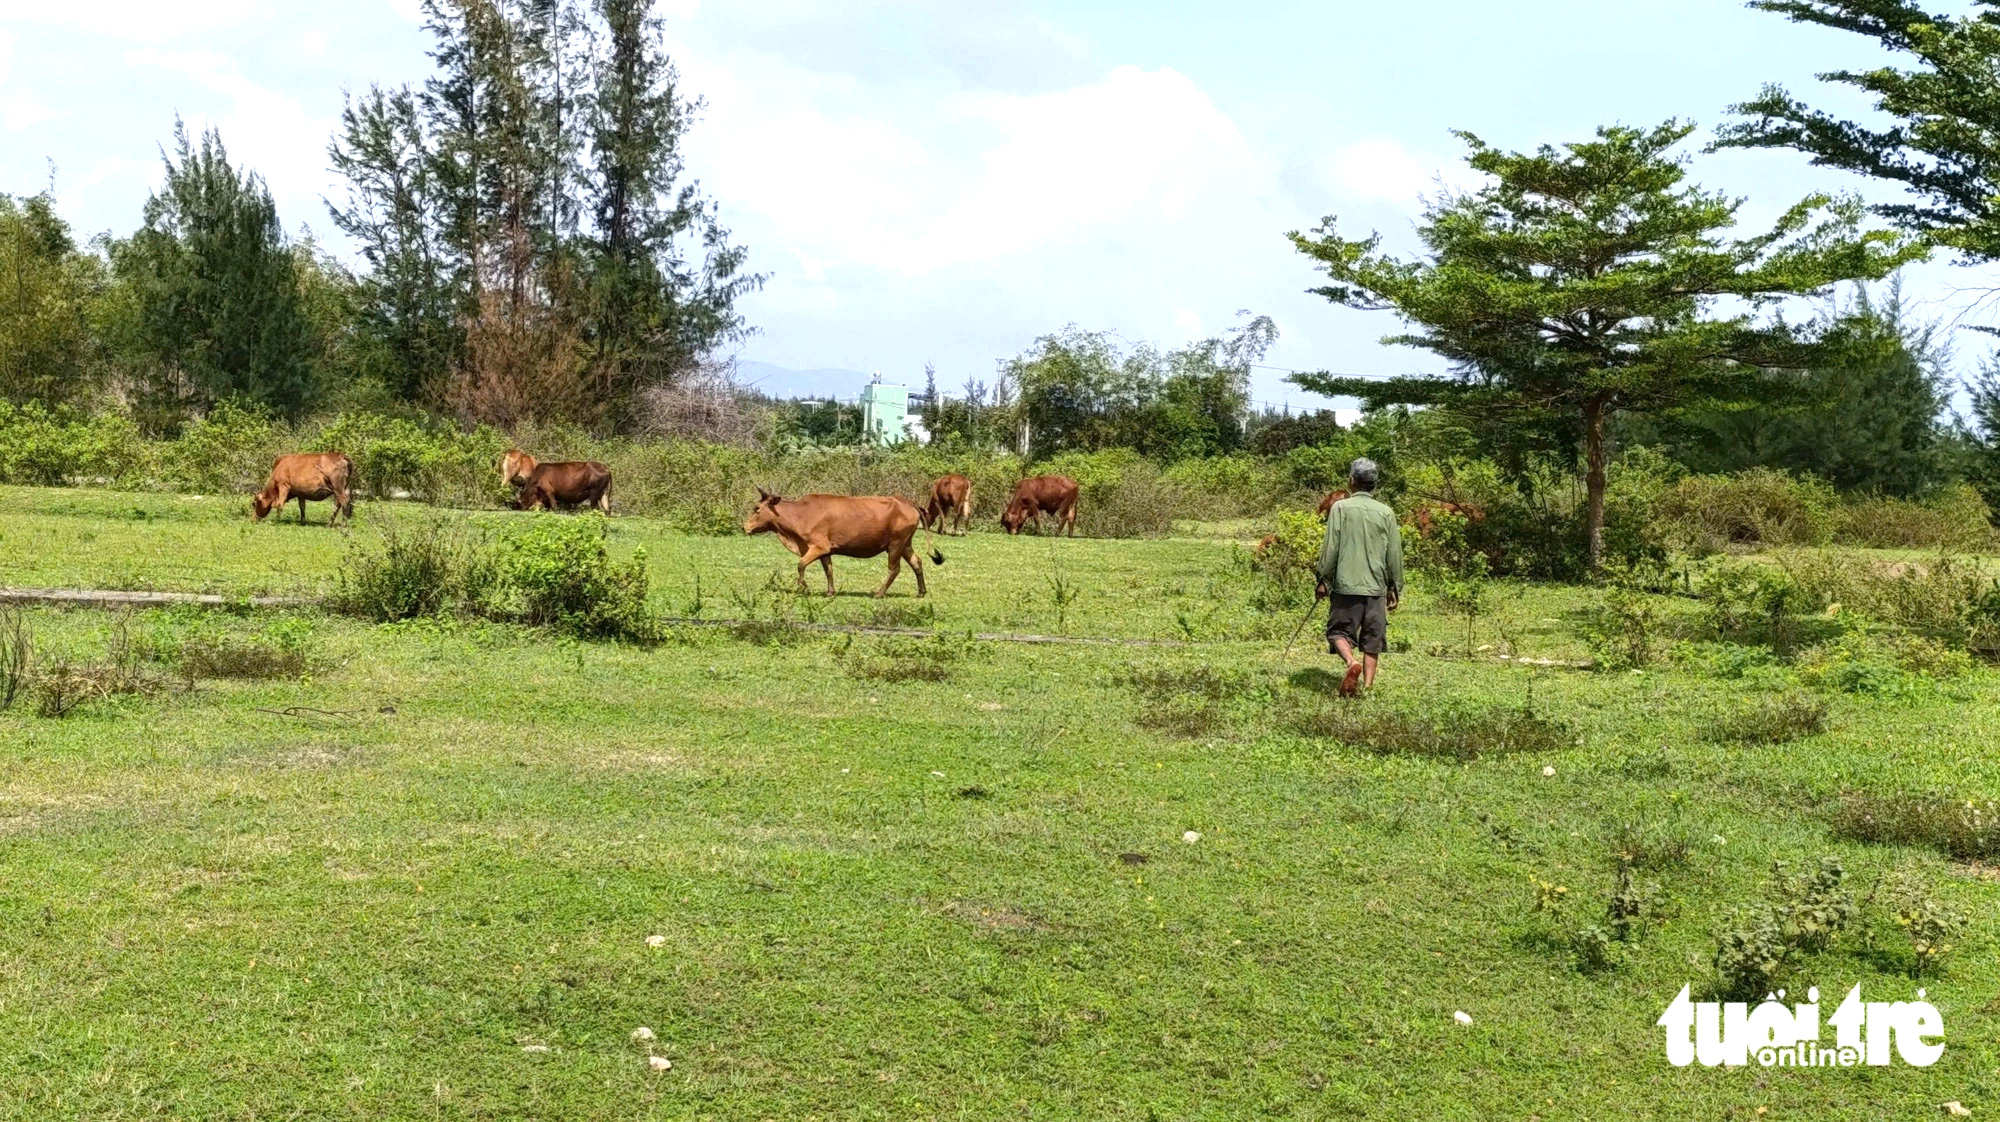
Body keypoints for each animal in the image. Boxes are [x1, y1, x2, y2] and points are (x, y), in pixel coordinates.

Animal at [744, 488, 944, 596]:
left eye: (757, 508)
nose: (745, 526)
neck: (801, 513)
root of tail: (909, 502)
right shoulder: (826, 550)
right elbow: (829, 570)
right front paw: (830, 592)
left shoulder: (817, 546)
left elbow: (800, 565)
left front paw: (805, 588)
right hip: (905, 544)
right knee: (917, 562)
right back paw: (921, 591)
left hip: (896, 544)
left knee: (894, 569)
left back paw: (879, 593)